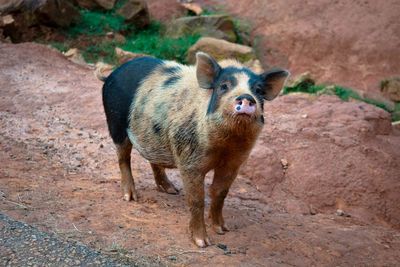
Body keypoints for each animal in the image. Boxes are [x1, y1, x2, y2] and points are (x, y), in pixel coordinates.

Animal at [99, 52, 288, 249]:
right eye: (223, 86)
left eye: (258, 90)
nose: (246, 97)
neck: (226, 144)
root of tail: (112, 74)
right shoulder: (189, 161)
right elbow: (197, 200)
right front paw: (202, 243)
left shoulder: (234, 163)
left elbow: (220, 193)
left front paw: (222, 229)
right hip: (115, 123)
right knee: (123, 158)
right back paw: (130, 197)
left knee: (153, 159)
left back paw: (171, 190)